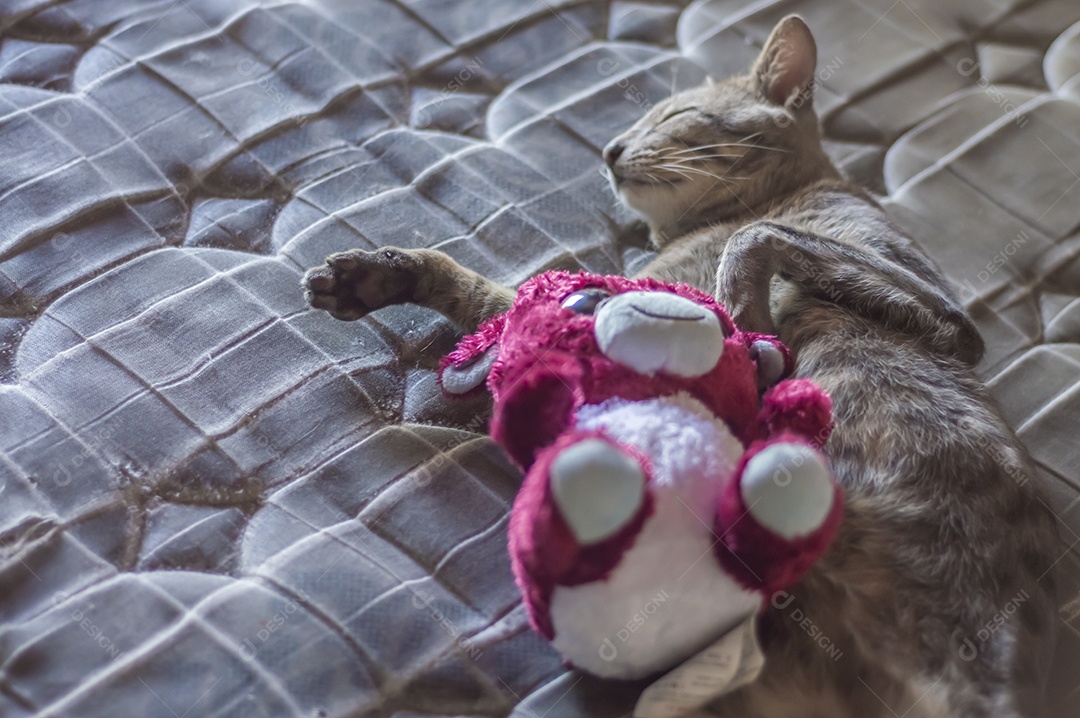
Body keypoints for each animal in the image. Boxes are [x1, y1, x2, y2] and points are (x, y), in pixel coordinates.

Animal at [306, 16, 1062, 716]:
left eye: (672, 117)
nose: (609, 148)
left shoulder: (948, 319)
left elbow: (756, 241)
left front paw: (740, 315)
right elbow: (485, 292)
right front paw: (371, 278)